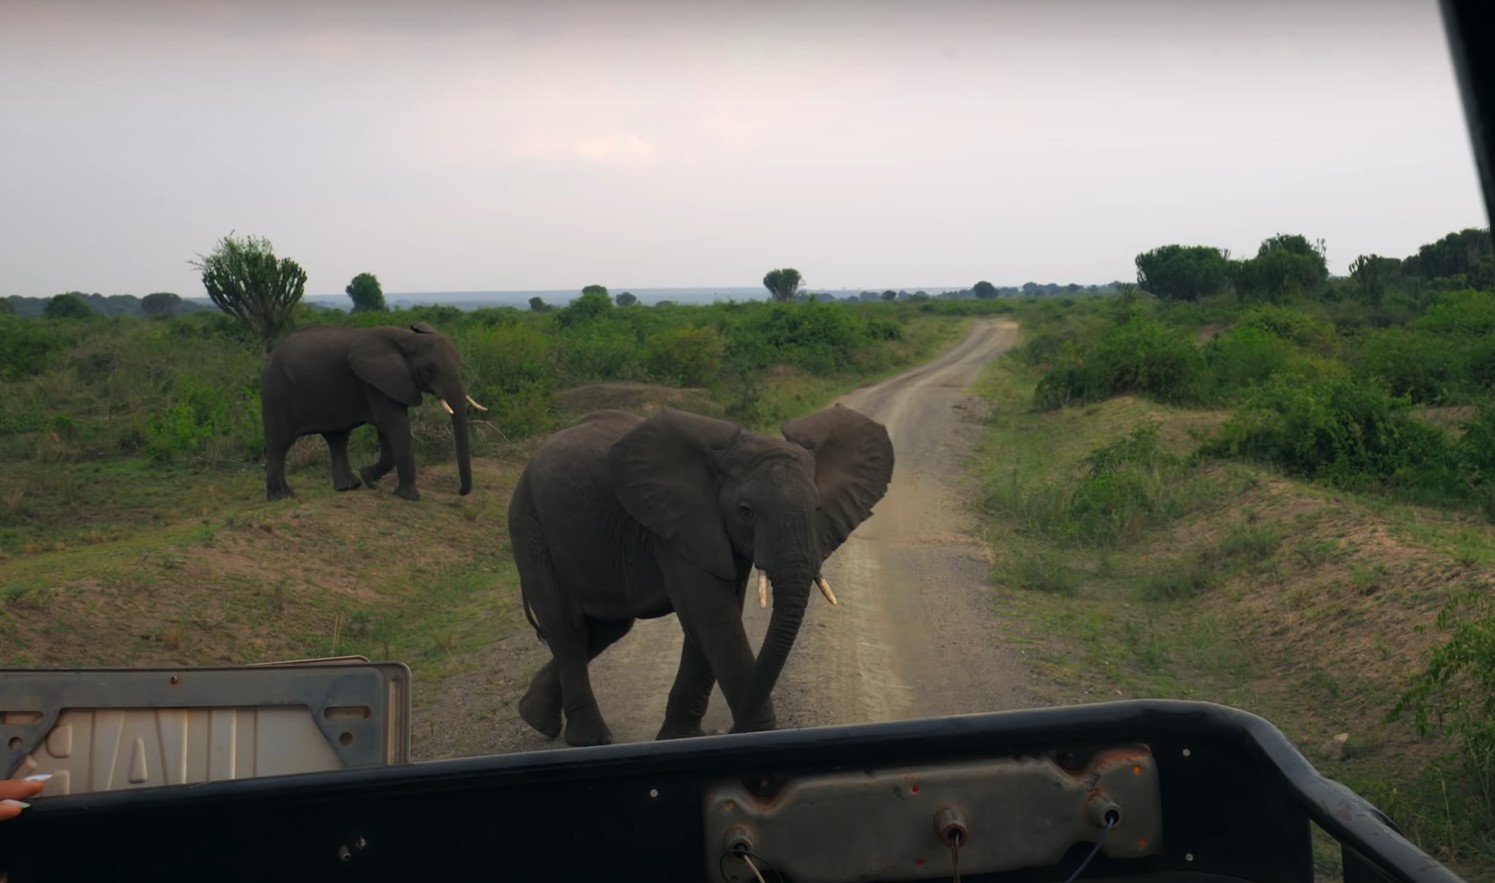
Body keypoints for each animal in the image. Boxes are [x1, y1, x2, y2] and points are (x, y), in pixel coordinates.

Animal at [260, 324, 487, 504]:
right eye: (429, 369)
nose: (459, 491)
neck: (408, 339)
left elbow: (386, 430)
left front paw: (369, 479)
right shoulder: (375, 380)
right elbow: (394, 424)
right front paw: (409, 497)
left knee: (337, 438)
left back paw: (348, 487)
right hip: (277, 391)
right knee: (280, 443)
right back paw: (281, 498)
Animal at [508, 406, 891, 747]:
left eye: (817, 508)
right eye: (746, 511)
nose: (731, 730)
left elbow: (709, 620)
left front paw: (681, 737)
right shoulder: (676, 526)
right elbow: (714, 618)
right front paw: (756, 735)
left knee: (606, 627)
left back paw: (535, 717)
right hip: (530, 528)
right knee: (566, 627)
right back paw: (590, 739)